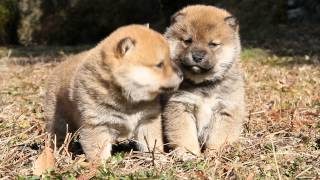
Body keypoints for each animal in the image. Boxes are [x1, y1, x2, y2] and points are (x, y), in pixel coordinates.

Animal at [44, 24, 182, 161]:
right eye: (159, 65)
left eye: (170, 59)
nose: (181, 74)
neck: (129, 99)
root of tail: (59, 66)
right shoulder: (97, 125)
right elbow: (98, 151)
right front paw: (101, 165)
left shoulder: (147, 120)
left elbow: (152, 143)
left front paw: (157, 158)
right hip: (59, 122)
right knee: (57, 136)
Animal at [161, 4, 246, 155]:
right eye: (188, 41)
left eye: (212, 44)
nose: (197, 56)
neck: (203, 84)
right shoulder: (179, 105)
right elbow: (184, 135)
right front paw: (188, 154)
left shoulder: (225, 108)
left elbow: (219, 137)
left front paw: (214, 154)